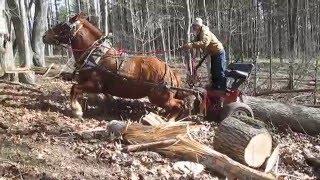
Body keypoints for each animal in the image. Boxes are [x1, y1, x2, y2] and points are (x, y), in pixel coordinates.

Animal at [42, 13, 188, 119]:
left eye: (62, 26)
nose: (44, 36)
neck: (94, 56)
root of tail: (171, 71)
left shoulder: (95, 85)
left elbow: (74, 89)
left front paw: (76, 111)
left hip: (159, 97)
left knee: (179, 105)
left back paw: (169, 120)